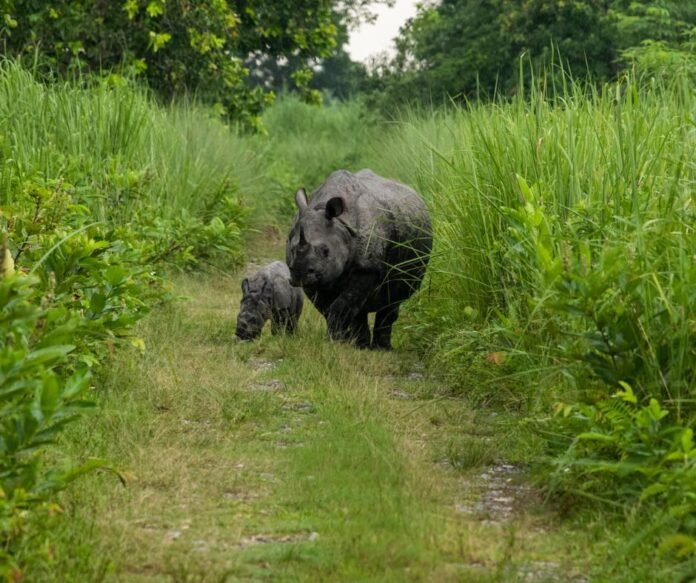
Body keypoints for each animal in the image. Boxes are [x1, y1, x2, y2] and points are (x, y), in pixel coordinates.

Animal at [286, 169, 432, 349]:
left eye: (325, 251)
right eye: (291, 249)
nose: (299, 274)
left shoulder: (367, 268)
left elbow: (342, 305)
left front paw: (333, 341)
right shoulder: (317, 277)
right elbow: (328, 307)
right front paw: (340, 341)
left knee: (392, 300)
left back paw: (381, 348)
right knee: (360, 308)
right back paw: (361, 345)